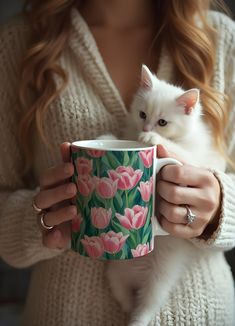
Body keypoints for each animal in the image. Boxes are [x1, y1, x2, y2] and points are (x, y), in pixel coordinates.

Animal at [103, 65, 226, 324]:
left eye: (162, 122)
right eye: (142, 115)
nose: (146, 129)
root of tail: (137, 275)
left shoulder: (194, 161)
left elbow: (178, 151)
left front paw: (153, 139)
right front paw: (105, 139)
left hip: (161, 278)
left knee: (148, 305)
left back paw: (137, 319)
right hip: (115, 272)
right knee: (124, 295)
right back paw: (128, 309)